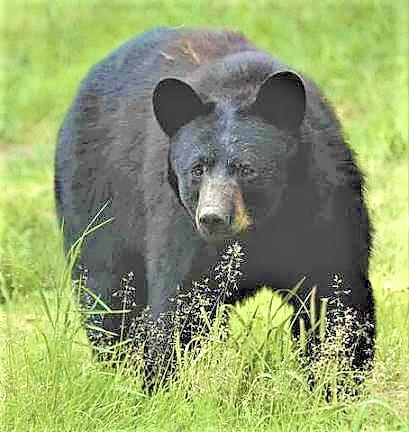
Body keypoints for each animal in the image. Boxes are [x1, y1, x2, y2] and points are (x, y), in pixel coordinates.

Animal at [55, 27, 374, 388]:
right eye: (197, 169)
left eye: (247, 169)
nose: (213, 218)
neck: (262, 227)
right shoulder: (180, 225)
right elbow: (180, 304)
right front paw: (162, 384)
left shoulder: (325, 204)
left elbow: (335, 296)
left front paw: (334, 384)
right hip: (95, 201)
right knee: (105, 293)